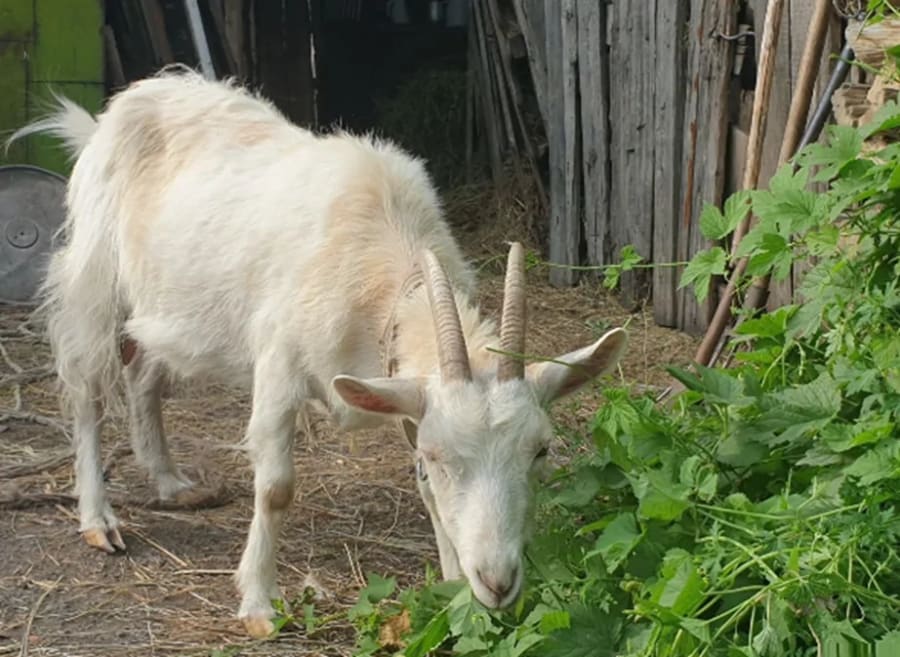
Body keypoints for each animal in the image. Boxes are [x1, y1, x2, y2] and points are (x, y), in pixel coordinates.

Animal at [9, 68, 628, 638]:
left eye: (541, 451)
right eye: (438, 456)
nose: (498, 582)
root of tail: (116, 110)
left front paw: (456, 591)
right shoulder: (280, 364)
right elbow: (276, 488)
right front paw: (259, 604)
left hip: (168, 302)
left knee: (144, 374)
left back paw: (169, 481)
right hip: (94, 277)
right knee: (87, 388)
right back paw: (98, 519)